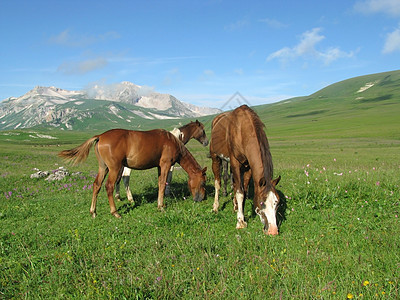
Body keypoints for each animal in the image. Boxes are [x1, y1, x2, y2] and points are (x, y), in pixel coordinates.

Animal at [61, 129, 209, 218]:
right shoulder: (165, 165)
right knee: (109, 186)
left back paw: (93, 211)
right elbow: (162, 183)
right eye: (203, 182)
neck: (172, 141)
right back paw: (115, 212)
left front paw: (161, 204)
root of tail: (100, 136)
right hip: (114, 168)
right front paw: (160, 207)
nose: (202, 198)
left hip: (103, 168)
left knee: (96, 185)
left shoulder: (159, 167)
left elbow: (160, 183)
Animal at [209, 105, 282, 234]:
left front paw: (240, 210)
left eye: (277, 203)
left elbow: (244, 189)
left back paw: (235, 206)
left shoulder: (249, 167)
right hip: (215, 158)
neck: (242, 131)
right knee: (218, 182)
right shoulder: (235, 162)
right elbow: (240, 192)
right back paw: (216, 207)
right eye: (262, 202)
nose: (273, 231)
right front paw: (240, 222)